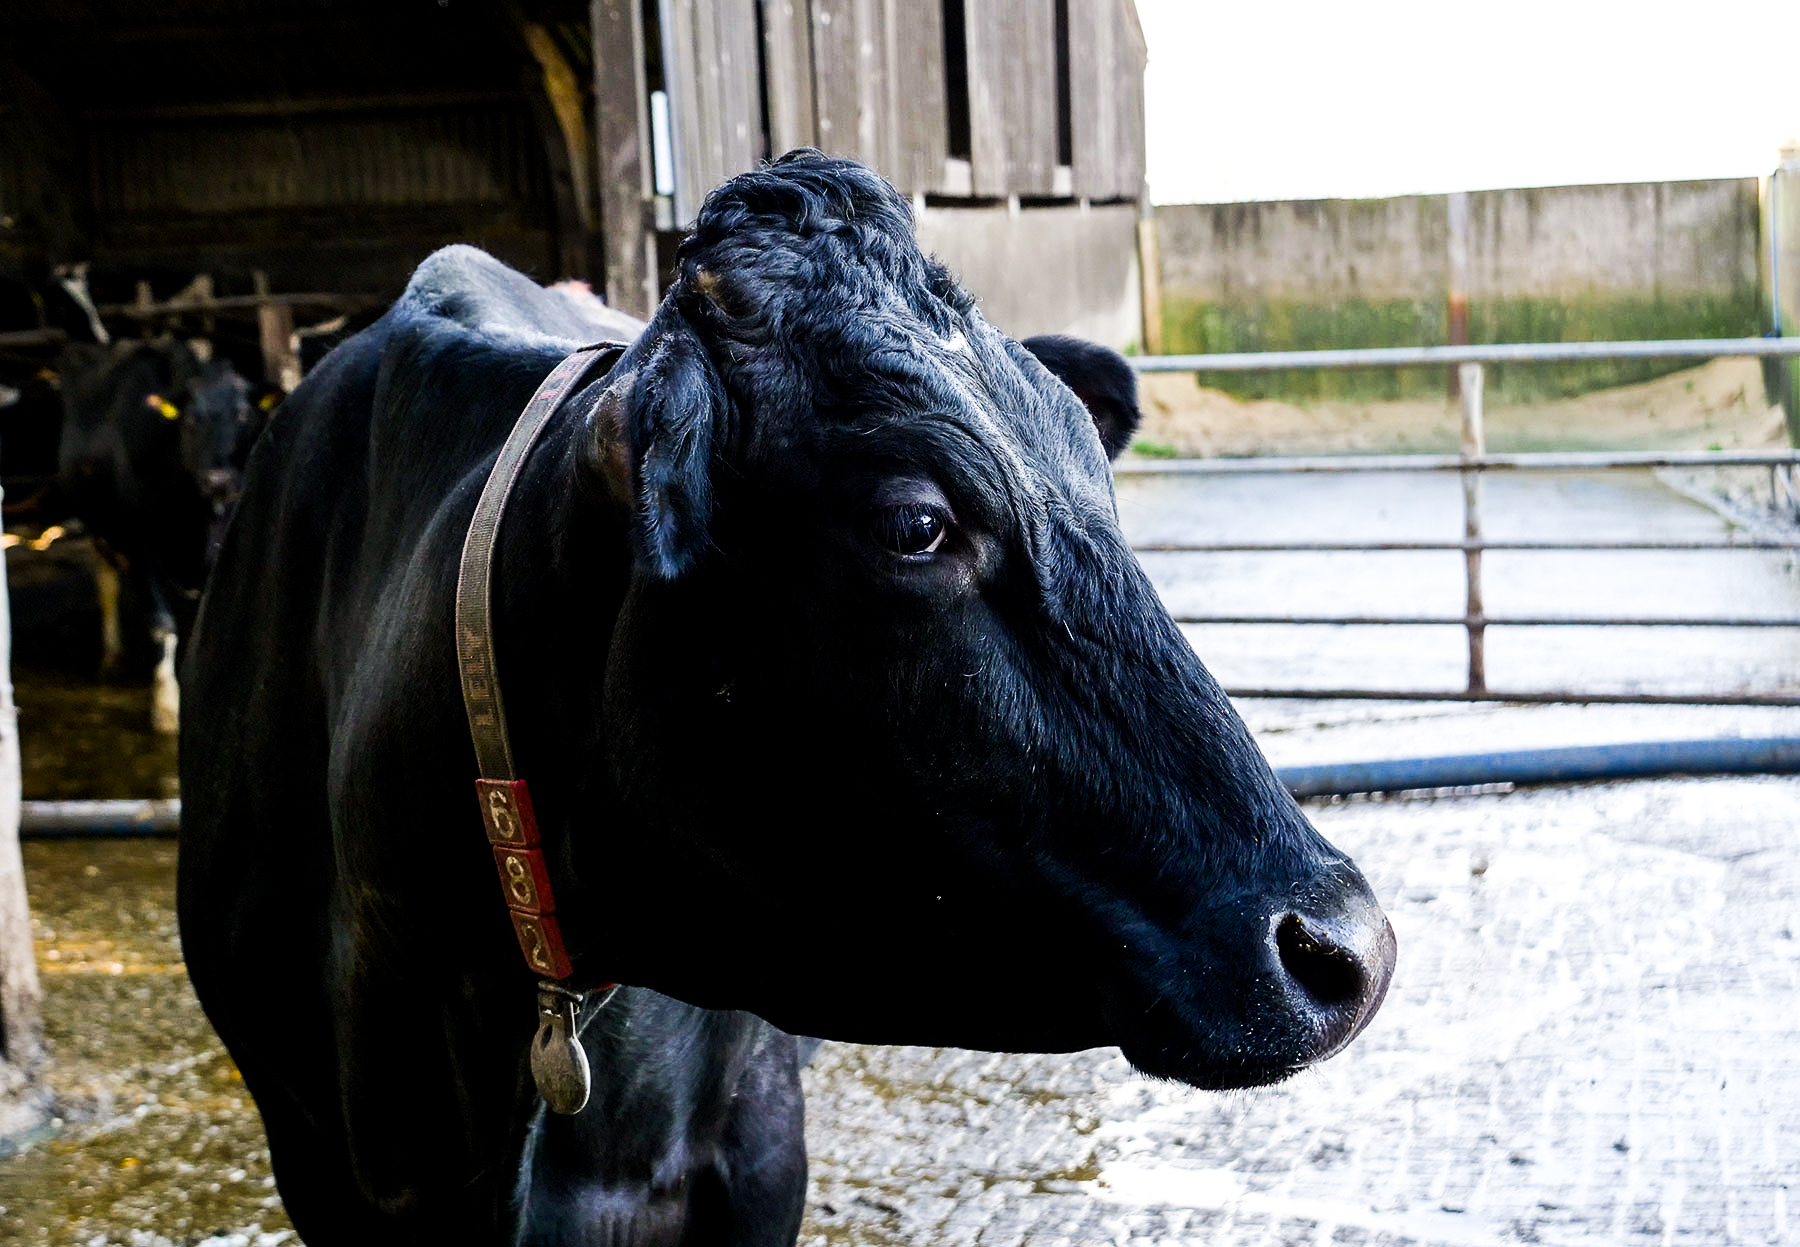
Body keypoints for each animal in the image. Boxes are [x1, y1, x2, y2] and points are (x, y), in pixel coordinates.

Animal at [56, 337, 266, 731]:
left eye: (244, 415)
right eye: (191, 418)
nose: (219, 480)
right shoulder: (139, 549)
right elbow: (162, 625)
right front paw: (167, 705)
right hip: (98, 527)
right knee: (106, 583)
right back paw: (112, 657)